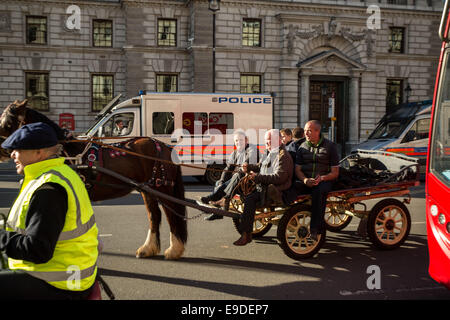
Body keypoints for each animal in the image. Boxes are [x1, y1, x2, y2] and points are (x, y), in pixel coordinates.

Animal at [0, 100, 187, 260]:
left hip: (162, 189)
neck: (66, 151)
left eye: (8, 123)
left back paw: (174, 250)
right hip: (147, 190)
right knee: (154, 216)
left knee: (171, 215)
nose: (3, 150)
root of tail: (165, 147)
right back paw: (148, 248)